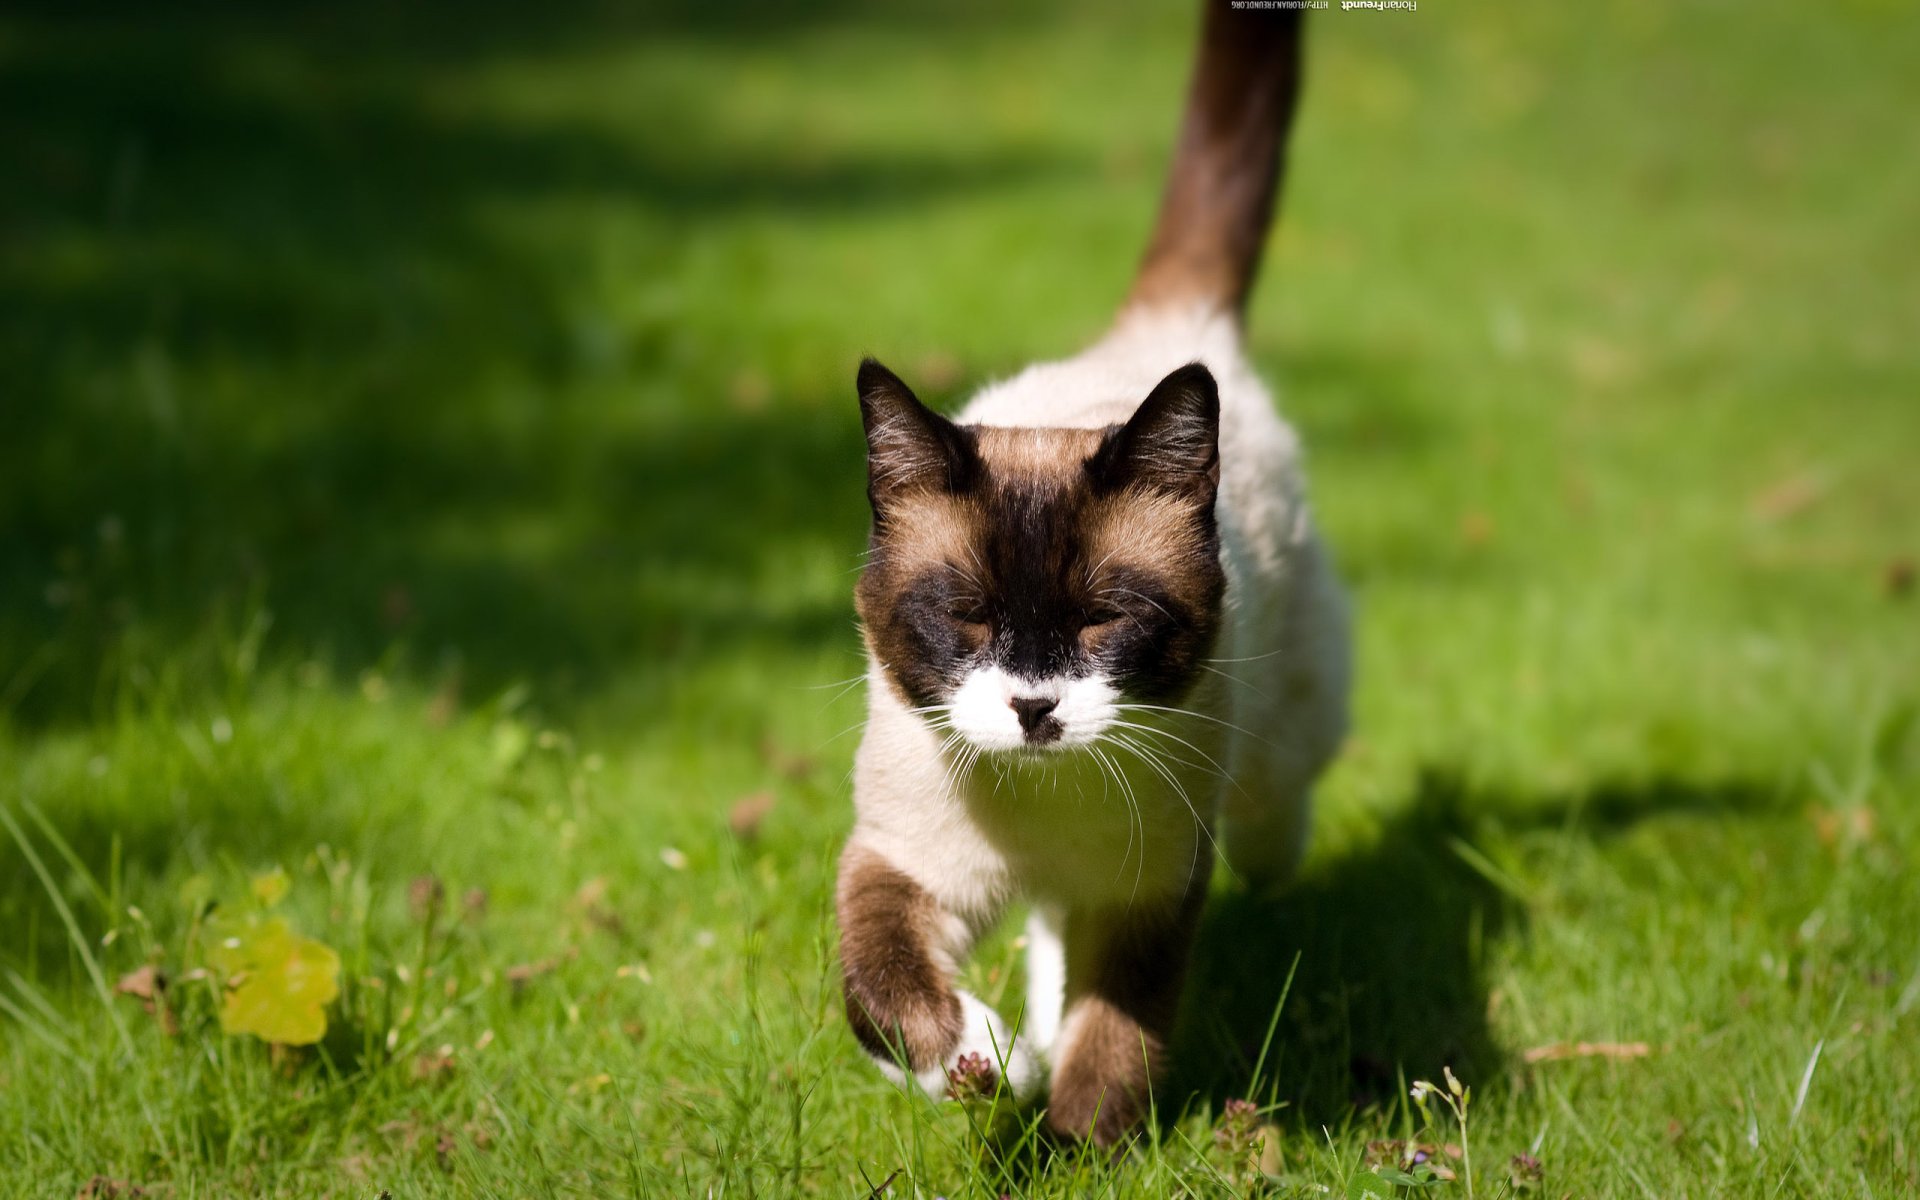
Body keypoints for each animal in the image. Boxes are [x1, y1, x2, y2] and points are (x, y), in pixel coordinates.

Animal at [833, 0, 1344, 1144]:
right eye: (969, 618)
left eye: (1104, 620)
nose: (1033, 706)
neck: (1040, 806)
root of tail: (1169, 331)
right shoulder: (900, 864)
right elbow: (881, 991)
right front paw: (983, 1064)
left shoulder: (1147, 895)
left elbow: (1113, 1040)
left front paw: (1072, 1146)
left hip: (1278, 749)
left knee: (1273, 822)